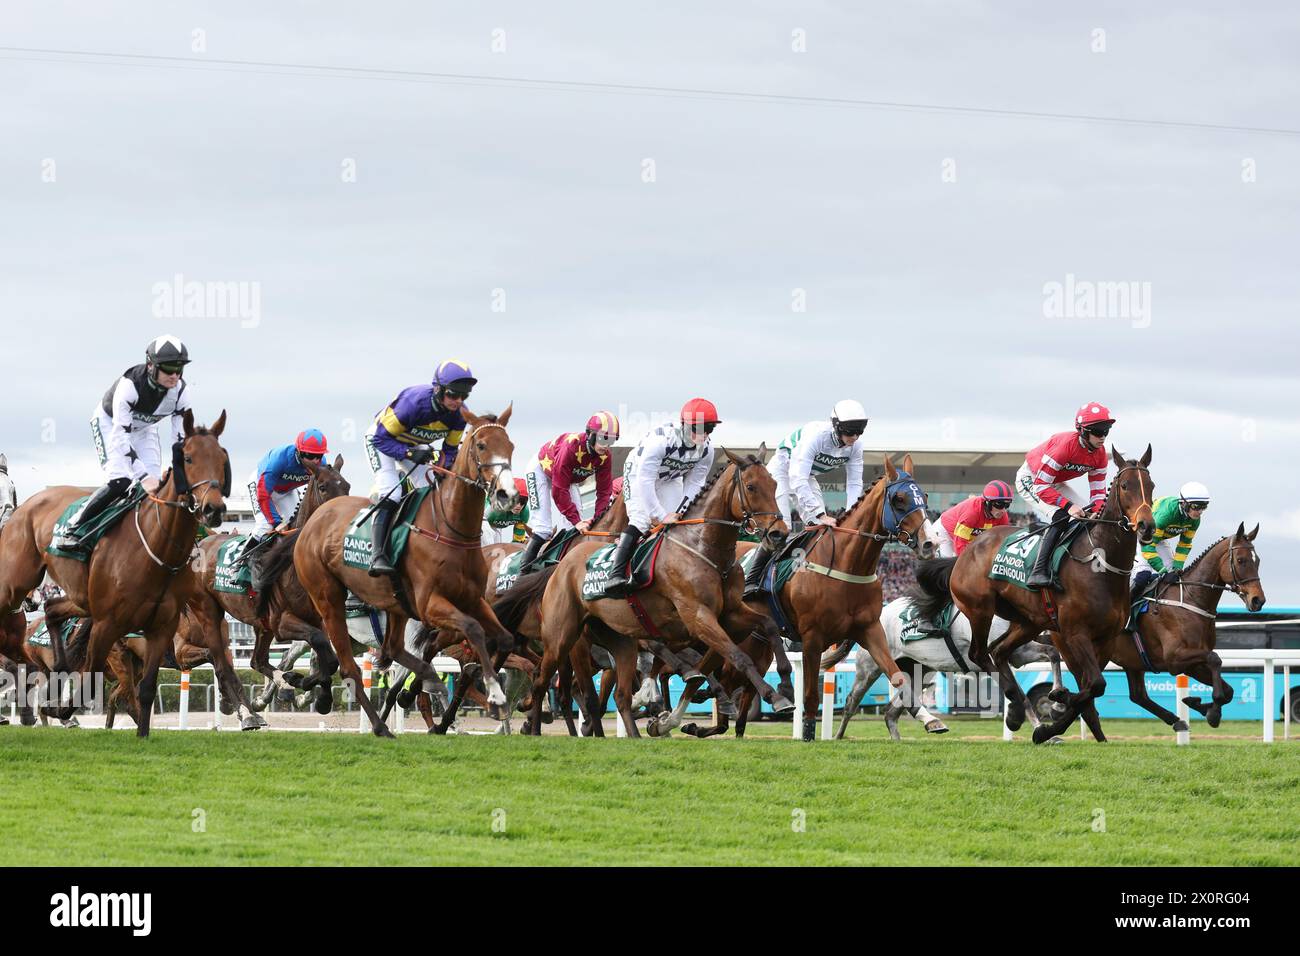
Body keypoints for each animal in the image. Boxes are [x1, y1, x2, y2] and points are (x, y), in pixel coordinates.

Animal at [0, 413, 230, 738]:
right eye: (188, 458)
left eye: (223, 459)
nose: (213, 508)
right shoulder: (108, 627)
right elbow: (93, 682)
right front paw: (61, 709)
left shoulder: (161, 629)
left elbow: (147, 689)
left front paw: (143, 735)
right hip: (19, 586)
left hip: (80, 599)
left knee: (53, 611)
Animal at [187, 455, 351, 717]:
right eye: (323, 487)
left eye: (346, 486)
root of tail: (202, 542)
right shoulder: (283, 621)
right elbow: (321, 646)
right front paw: (303, 683)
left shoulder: (320, 619)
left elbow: (328, 658)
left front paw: (317, 694)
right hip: (210, 612)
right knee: (222, 663)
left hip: (262, 626)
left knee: (257, 660)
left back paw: (280, 686)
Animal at [292, 408, 520, 738]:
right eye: (481, 446)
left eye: (510, 446)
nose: (507, 495)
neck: (449, 528)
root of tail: (315, 520)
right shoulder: (430, 605)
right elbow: (474, 629)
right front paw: (495, 695)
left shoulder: (471, 600)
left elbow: (504, 638)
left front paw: (492, 692)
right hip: (328, 600)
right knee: (347, 666)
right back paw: (376, 724)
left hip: (395, 606)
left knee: (391, 650)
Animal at [925, 444, 1159, 743]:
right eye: (1126, 485)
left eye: (1151, 485)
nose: (1146, 526)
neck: (1099, 565)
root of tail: (965, 553)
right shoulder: (1075, 633)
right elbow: (1094, 684)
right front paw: (1054, 714)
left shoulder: (1106, 638)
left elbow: (1091, 687)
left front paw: (1056, 718)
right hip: (980, 610)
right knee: (980, 654)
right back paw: (1016, 707)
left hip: (1028, 621)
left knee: (998, 651)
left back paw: (1017, 711)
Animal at [1092, 522, 1263, 733]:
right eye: (1241, 560)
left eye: (1257, 561)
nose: (1258, 600)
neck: (1191, 599)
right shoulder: (1174, 658)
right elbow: (1215, 659)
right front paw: (1212, 711)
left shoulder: (1191, 664)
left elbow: (1229, 690)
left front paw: (1200, 704)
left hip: (1132, 660)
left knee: (1138, 696)